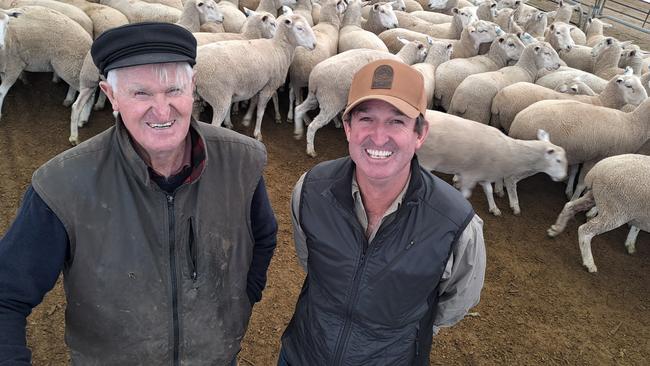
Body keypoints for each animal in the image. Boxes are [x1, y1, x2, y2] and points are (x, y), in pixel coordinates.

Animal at [292, 39, 426, 156]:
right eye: (425, 52)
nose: (425, 59)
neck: (404, 58)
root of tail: (314, 78)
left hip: (316, 96)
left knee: (298, 109)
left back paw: (298, 132)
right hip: (331, 99)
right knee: (313, 125)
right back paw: (310, 150)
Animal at [418, 110, 564, 216]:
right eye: (558, 160)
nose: (563, 177)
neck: (510, 150)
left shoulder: (484, 173)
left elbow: (488, 190)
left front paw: (494, 208)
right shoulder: (471, 175)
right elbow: (465, 194)